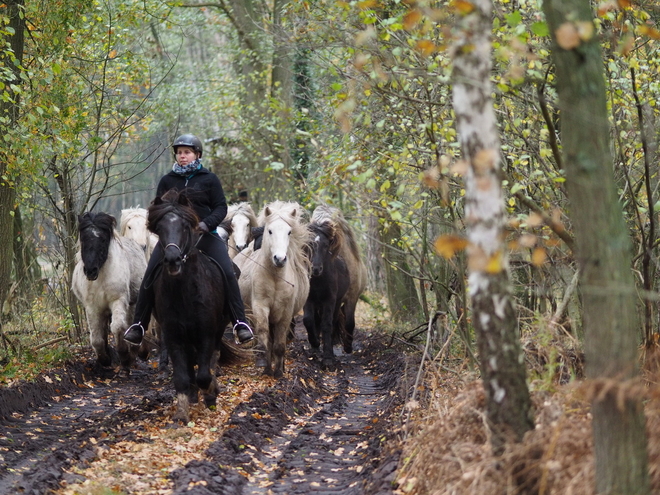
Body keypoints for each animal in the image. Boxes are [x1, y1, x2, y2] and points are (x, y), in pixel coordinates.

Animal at [73, 213, 148, 372]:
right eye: (83, 238)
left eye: (103, 239)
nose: (90, 270)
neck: (101, 278)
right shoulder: (93, 308)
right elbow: (96, 338)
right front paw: (104, 359)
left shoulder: (118, 300)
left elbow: (118, 327)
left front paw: (125, 357)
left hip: (133, 302)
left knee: (132, 323)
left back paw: (136, 352)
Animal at [148, 189, 244, 422]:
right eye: (160, 228)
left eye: (184, 226)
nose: (172, 259)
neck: (184, 293)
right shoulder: (173, 334)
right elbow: (181, 376)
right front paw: (182, 413)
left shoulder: (206, 332)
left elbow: (204, 372)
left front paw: (210, 394)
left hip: (219, 327)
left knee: (213, 357)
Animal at [235, 200, 312, 378]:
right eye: (270, 231)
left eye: (289, 232)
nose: (280, 258)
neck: (276, 277)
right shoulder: (261, 306)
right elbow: (264, 335)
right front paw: (265, 366)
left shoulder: (286, 312)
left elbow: (280, 342)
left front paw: (278, 372)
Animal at [302, 222, 350, 372]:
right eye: (309, 244)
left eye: (325, 245)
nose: (316, 269)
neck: (318, 280)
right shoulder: (309, 299)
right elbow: (308, 320)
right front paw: (315, 345)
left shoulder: (330, 300)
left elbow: (327, 325)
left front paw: (328, 359)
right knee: (316, 320)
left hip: (336, 303)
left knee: (332, 322)